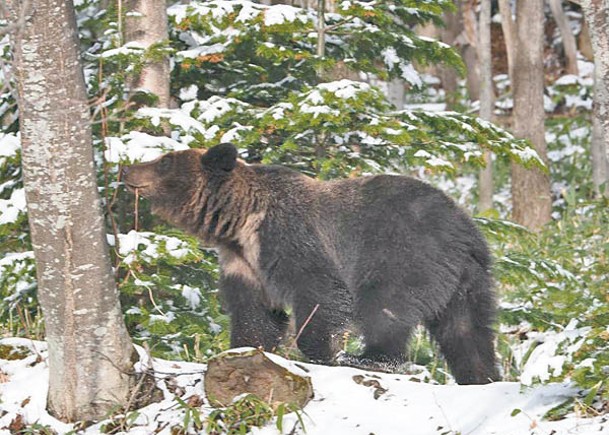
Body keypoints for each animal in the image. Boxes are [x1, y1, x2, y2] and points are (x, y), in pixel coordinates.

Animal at [122, 143, 498, 384]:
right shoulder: (244, 264)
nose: (127, 167)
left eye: (165, 161)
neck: (240, 224)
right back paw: (482, 376)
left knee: (385, 308)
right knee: (467, 331)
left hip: (403, 254)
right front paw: (242, 351)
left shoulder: (290, 240)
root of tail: (465, 227)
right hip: (468, 279)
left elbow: (321, 294)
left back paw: (370, 357)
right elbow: (254, 316)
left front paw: (322, 352)